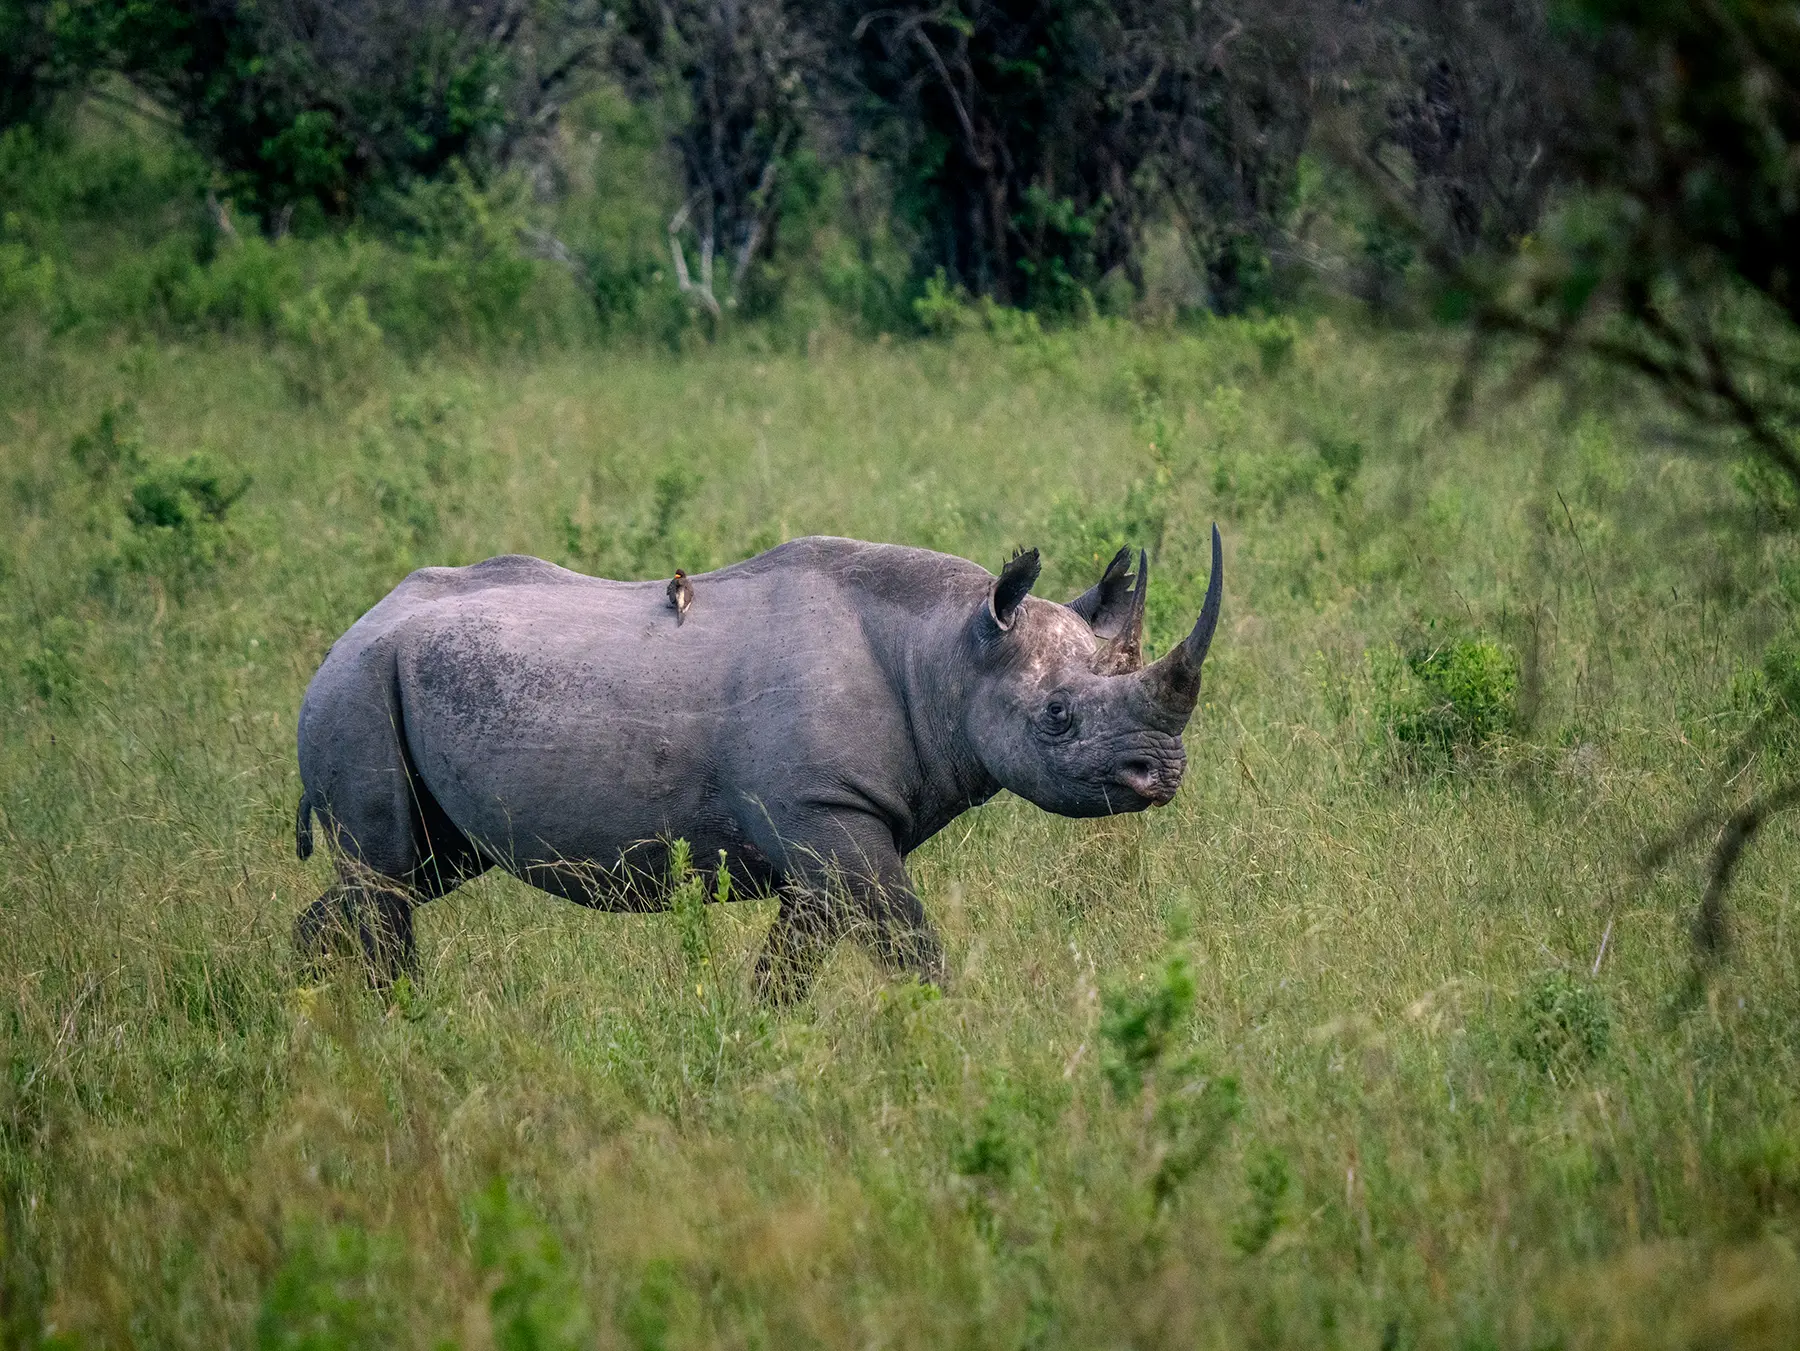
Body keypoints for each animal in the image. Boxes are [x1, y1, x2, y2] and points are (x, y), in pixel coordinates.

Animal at [294, 526, 1223, 998]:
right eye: (1057, 717)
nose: (1163, 773)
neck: (949, 651)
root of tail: (349, 631)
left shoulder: (827, 830)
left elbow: (791, 964)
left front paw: (761, 1045)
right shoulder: (827, 812)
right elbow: (912, 945)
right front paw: (948, 1034)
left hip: (381, 687)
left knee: (403, 873)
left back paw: (313, 1004)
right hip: (355, 690)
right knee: (384, 879)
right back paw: (402, 1019)